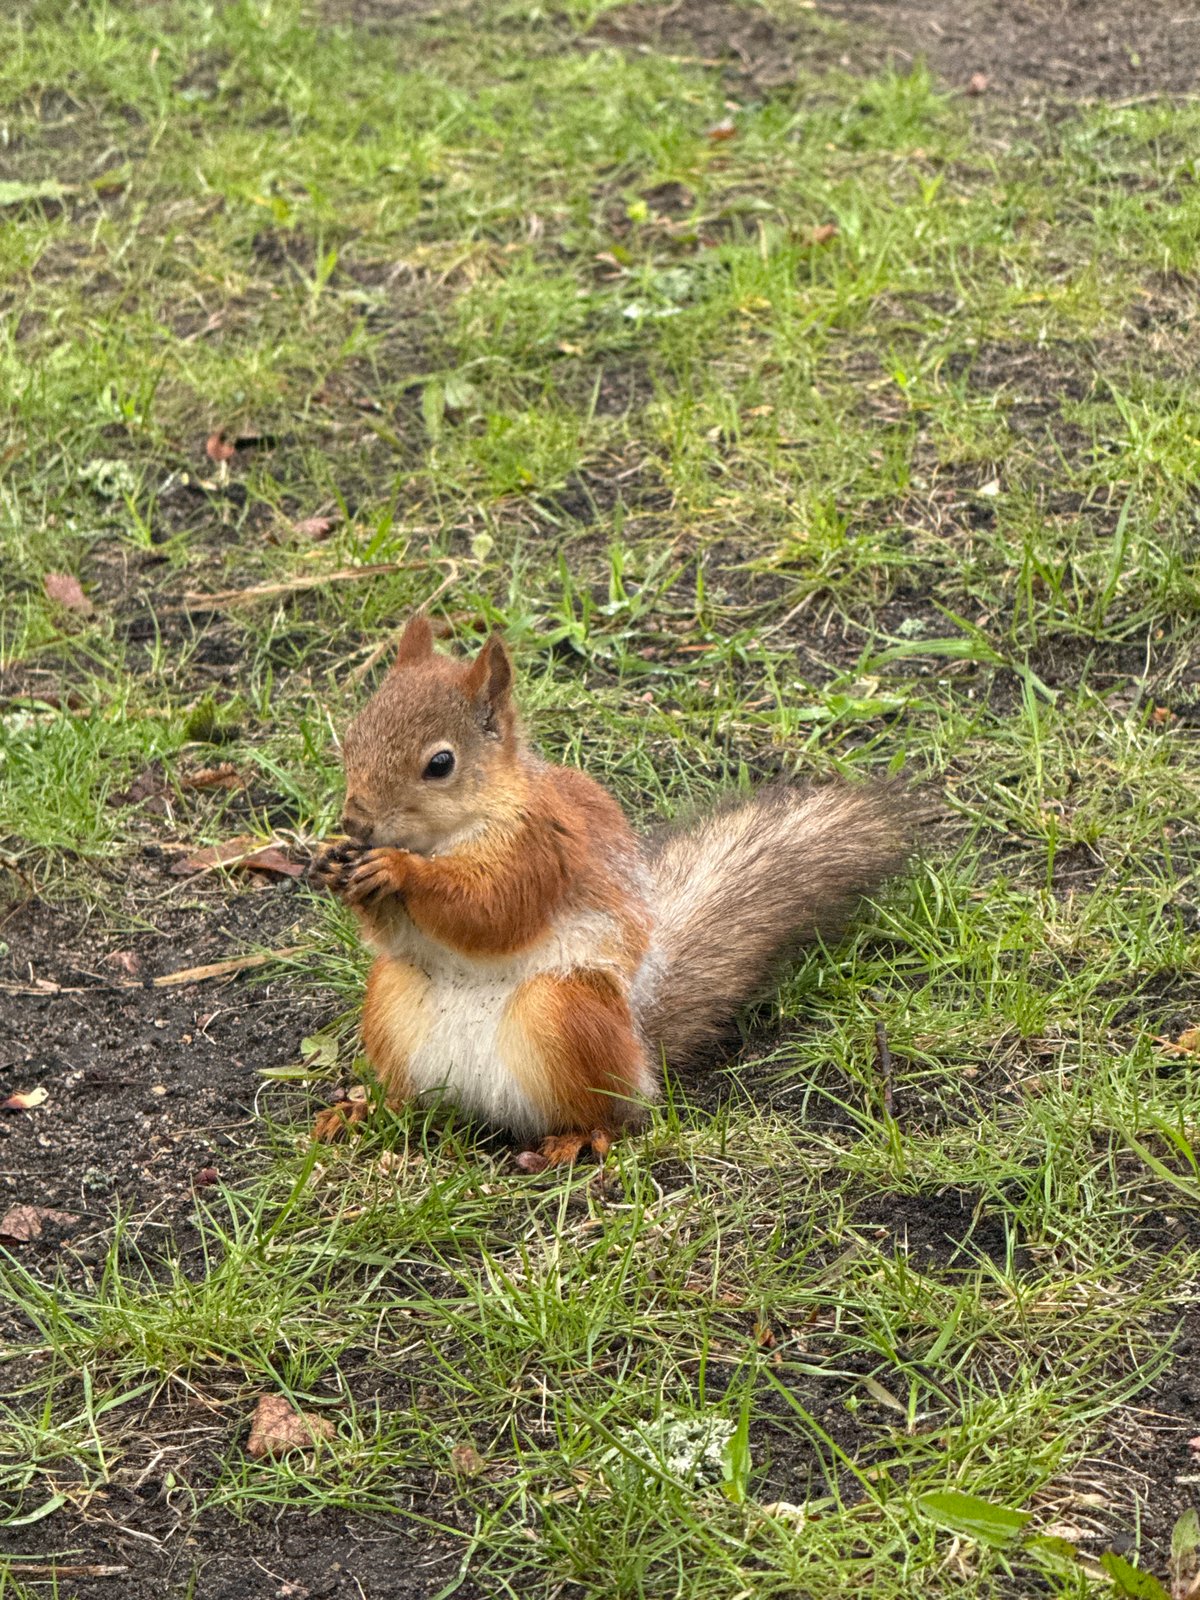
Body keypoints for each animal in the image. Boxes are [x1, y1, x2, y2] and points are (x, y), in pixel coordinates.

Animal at [308, 615, 909, 1169]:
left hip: (564, 1013)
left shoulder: (538, 850)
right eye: (353, 737)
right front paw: (334, 862)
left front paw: (399, 870)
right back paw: (366, 1111)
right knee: (414, 1099)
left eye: (440, 764)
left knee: (612, 1116)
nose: (355, 822)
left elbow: (494, 911)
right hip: (393, 995)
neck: (447, 836)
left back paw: (577, 1138)